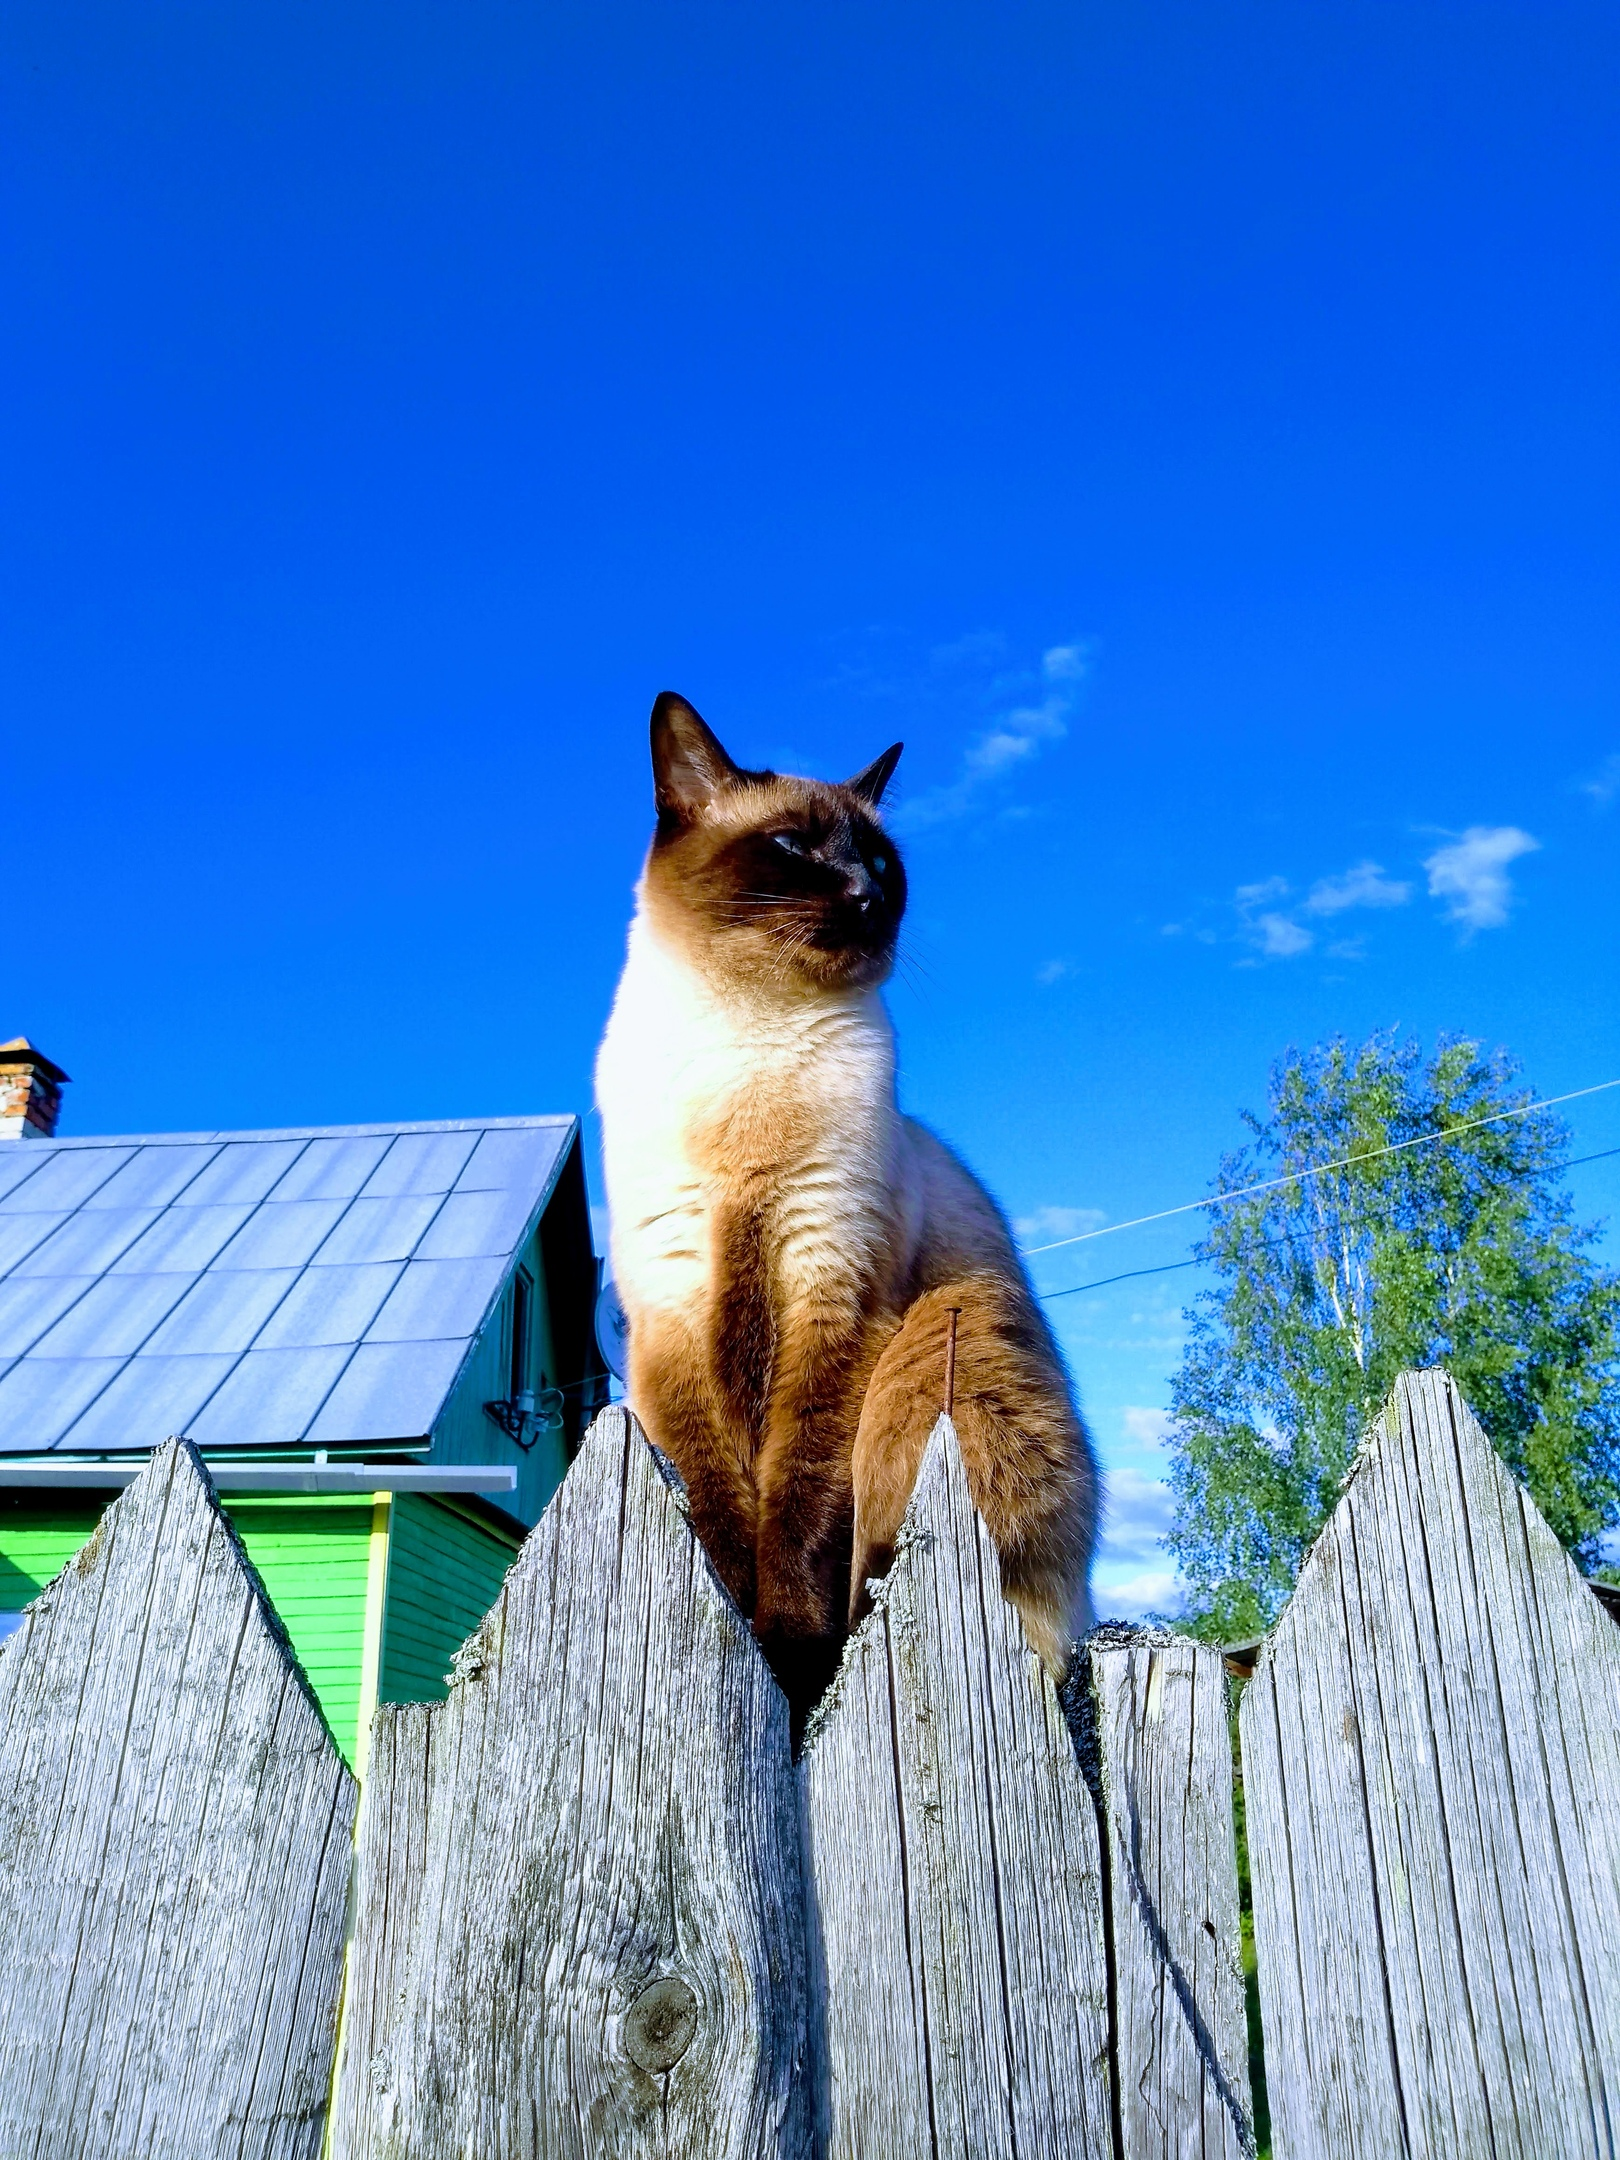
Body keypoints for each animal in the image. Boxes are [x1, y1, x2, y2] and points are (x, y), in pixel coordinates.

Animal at [596, 691, 1105, 1719]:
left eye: (877, 858)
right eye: (793, 846)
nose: (867, 895)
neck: (753, 1039)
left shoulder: (833, 1301)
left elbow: (797, 1513)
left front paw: (792, 1661)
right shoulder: (671, 1317)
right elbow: (718, 1515)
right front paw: (739, 1634)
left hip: (934, 1347)